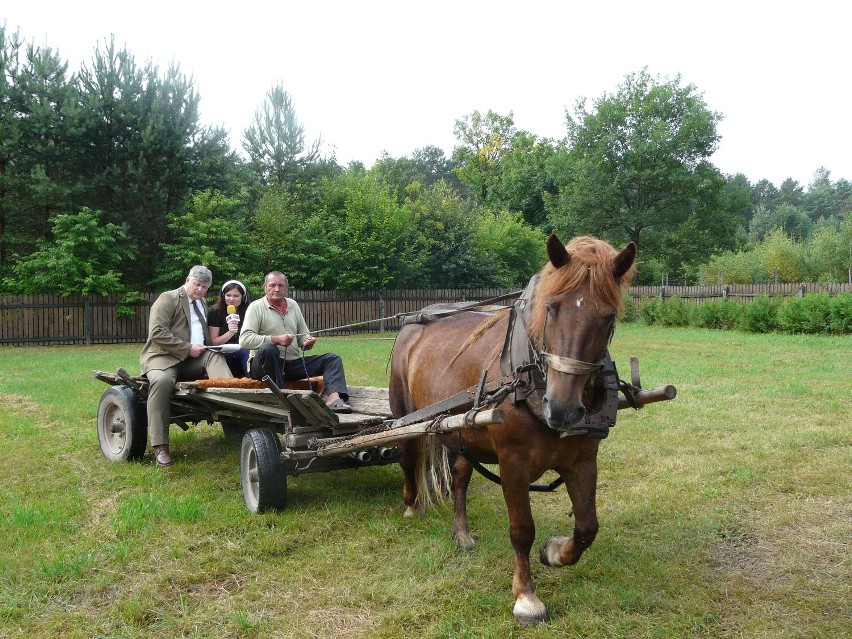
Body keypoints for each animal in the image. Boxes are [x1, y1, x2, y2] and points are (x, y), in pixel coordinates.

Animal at [390, 234, 636, 624]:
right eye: (551, 308)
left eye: (608, 317)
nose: (562, 408)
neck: (530, 381)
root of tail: (412, 325)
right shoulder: (513, 463)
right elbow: (522, 529)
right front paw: (526, 597)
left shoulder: (583, 460)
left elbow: (587, 527)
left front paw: (554, 552)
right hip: (406, 416)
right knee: (408, 458)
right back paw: (412, 505)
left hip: (464, 433)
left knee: (460, 477)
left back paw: (461, 533)